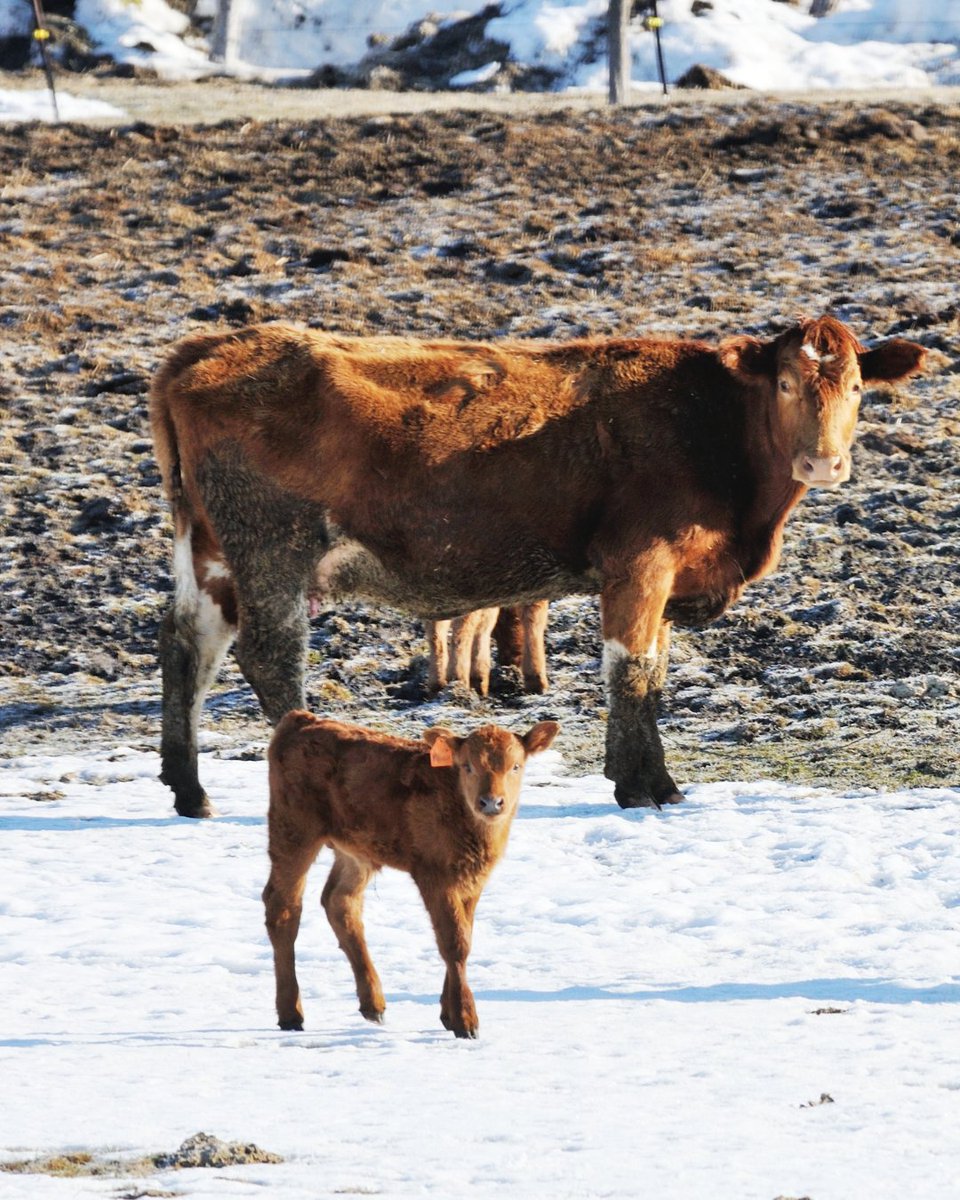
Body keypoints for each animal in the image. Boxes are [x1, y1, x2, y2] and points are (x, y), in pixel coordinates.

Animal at [149, 316, 925, 818]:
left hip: (209, 549)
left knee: (186, 647)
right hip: (271, 545)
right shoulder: (640, 564)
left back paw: (189, 790)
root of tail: (205, 346)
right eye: (788, 384)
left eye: (858, 388)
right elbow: (630, 673)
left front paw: (647, 777)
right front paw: (641, 786)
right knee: (270, 656)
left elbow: (653, 673)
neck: (712, 427)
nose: (823, 462)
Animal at [263, 713, 559, 1038]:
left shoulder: (472, 880)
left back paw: (373, 1004)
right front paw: (466, 1021)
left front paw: (448, 1013)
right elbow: (454, 942)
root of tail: (300, 720)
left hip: (356, 852)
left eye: (515, 766)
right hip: (293, 831)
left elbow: (464, 934)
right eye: (467, 766)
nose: (491, 802)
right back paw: (291, 1014)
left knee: (339, 901)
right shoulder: (435, 875)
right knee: (283, 907)